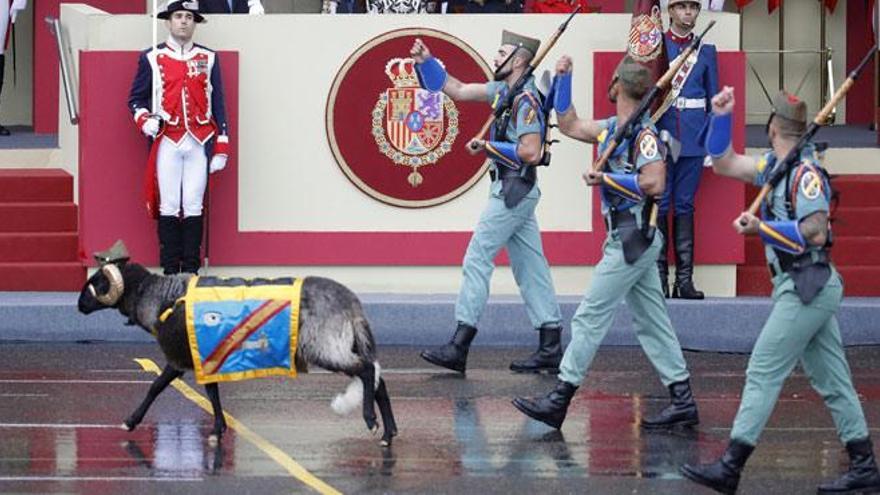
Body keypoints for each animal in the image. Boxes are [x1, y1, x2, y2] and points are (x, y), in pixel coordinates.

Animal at [77, 258, 398, 448]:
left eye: (96, 283)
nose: (79, 306)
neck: (159, 297)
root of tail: (352, 304)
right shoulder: (207, 354)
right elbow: (213, 393)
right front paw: (218, 430)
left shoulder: (179, 357)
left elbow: (156, 386)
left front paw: (130, 421)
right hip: (344, 344)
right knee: (378, 380)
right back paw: (389, 433)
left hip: (324, 346)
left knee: (367, 371)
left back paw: (371, 422)